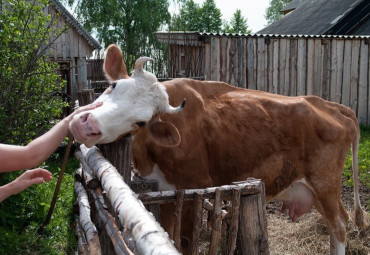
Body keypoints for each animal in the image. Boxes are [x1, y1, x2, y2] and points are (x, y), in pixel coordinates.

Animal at [70, 44, 368, 254]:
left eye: (141, 122)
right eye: (113, 85)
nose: (87, 125)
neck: (148, 155)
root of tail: (331, 105)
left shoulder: (191, 188)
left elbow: (185, 242)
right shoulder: (165, 191)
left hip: (325, 183)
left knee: (340, 225)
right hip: (314, 189)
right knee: (335, 224)